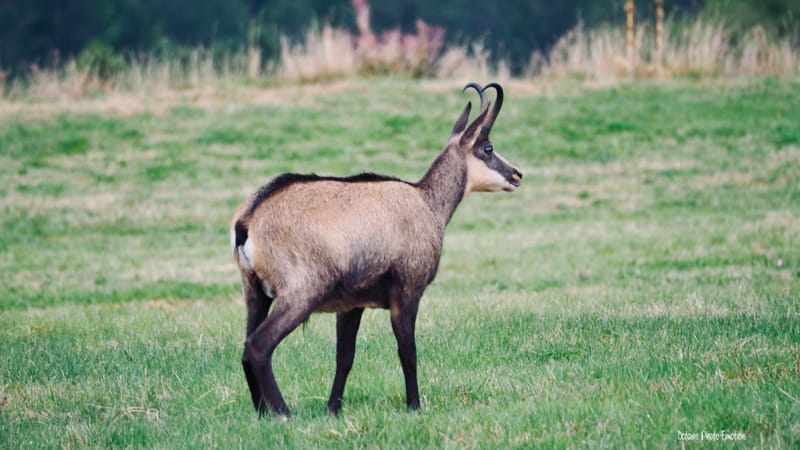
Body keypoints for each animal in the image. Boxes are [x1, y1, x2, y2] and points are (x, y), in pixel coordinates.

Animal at [230, 82, 522, 417]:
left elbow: (344, 357)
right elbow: (408, 351)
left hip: (255, 293)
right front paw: (414, 406)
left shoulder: (351, 304)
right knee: (258, 346)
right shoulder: (407, 290)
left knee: (246, 347)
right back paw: (283, 413)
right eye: (487, 148)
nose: (517, 175)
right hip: (301, 292)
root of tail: (247, 220)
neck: (426, 202)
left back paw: (262, 413)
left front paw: (333, 410)